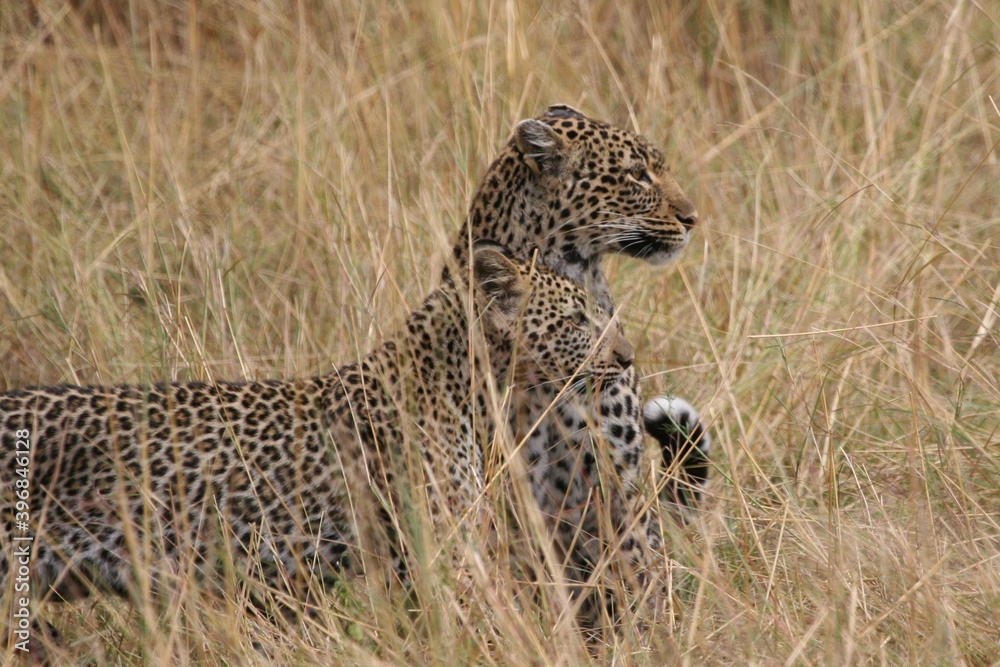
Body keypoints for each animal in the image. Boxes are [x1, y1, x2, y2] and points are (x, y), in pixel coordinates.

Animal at [447, 104, 713, 628]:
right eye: (636, 174)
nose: (693, 219)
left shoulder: (617, 473)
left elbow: (635, 568)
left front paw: (652, 637)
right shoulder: (502, 478)